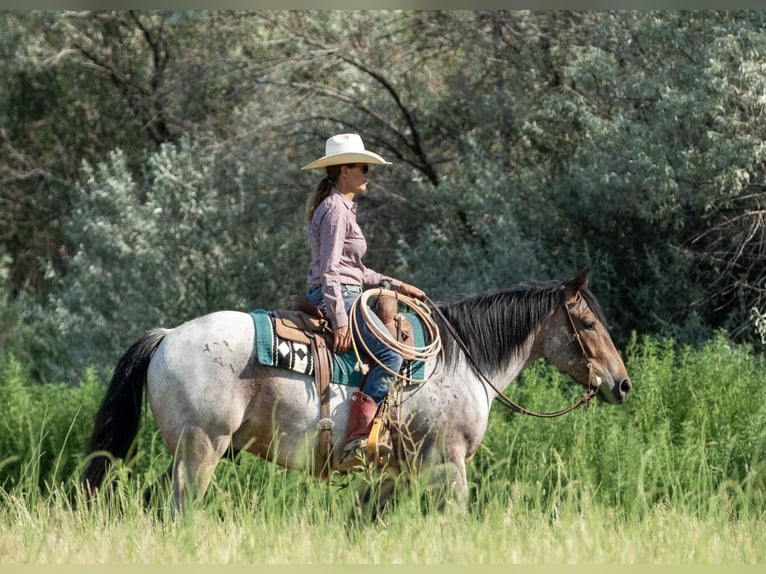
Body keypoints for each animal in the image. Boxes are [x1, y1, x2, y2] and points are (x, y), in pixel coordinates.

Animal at [84, 270, 632, 520]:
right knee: (178, 509)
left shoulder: (393, 473)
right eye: (587, 324)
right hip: (201, 449)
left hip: (188, 451)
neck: (461, 363)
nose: (621, 384)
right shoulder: (448, 462)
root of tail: (168, 336)